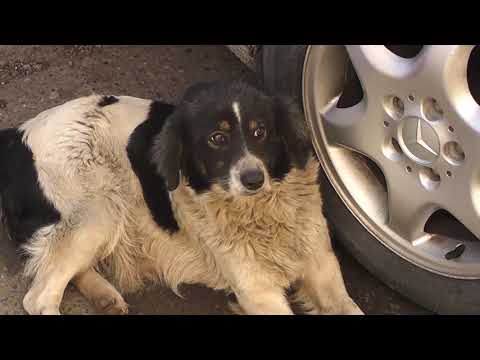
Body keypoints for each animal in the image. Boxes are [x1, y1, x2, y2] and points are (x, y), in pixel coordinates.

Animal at [0, 79, 362, 316]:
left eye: (260, 132)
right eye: (217, 138)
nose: (253, 179)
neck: (259, 213)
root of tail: (16, 135)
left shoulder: (322, 268)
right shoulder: (257, 290)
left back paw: (105, 296)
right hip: (97, 210)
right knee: (40, 297)